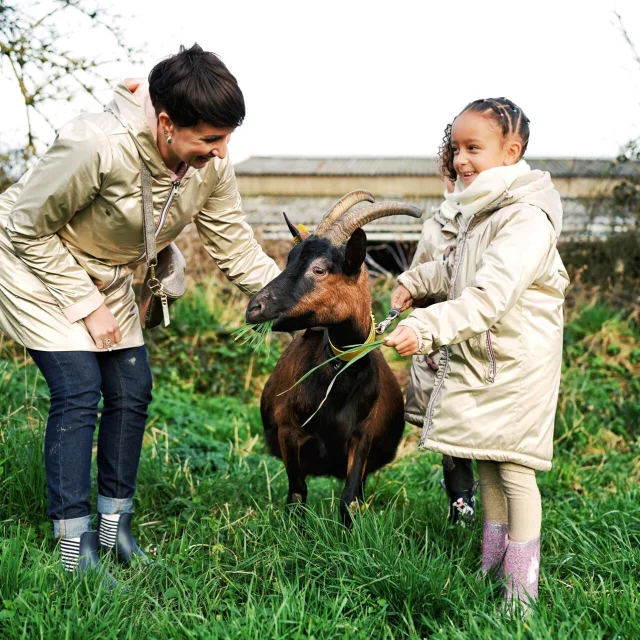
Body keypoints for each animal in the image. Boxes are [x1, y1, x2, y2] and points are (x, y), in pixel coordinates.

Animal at [248, 191, 422, 524]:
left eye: (319, 269)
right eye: (290, 259)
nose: (254, 308)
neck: (340, 375)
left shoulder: (362, 436)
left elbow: (348, 498)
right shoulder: (288, 432)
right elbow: (297, 493)